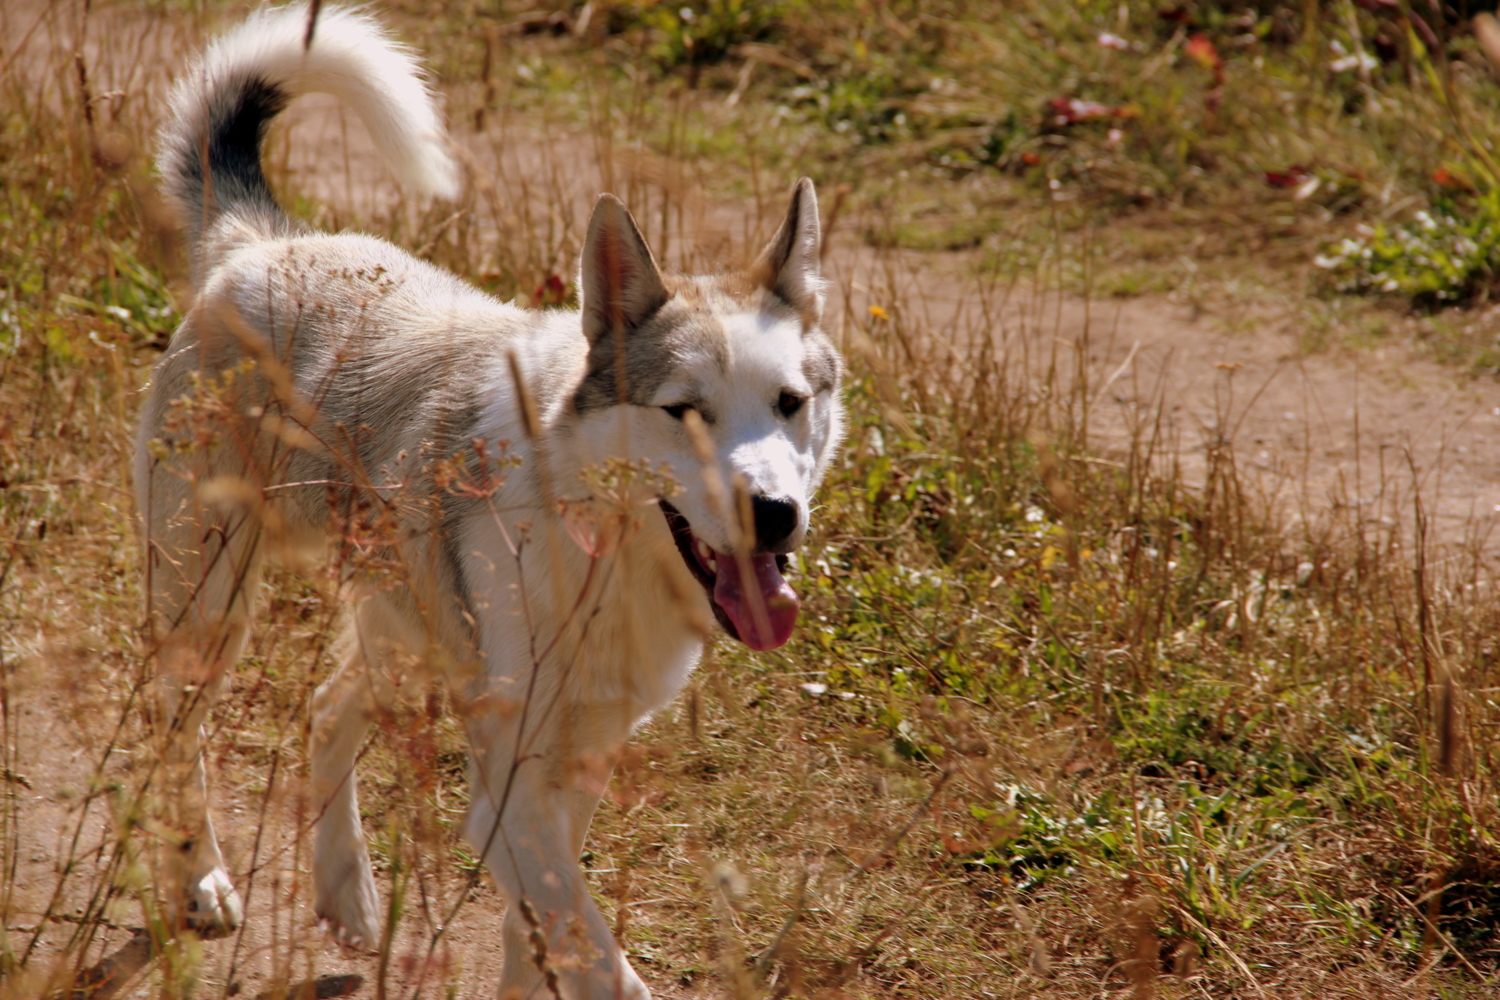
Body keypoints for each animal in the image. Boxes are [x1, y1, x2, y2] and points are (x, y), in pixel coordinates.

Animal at [136, 7, 846, 1000]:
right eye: (685, 412)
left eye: (790, 402)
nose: (773, 515)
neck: (599, 552)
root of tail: (264, 246)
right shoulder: (511, 801)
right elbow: (596, 958)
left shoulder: (570, 775)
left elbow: (535, 936)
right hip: (208, 611)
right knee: (178, 736)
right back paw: (200, 879)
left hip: (401, 632)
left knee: (326, 708)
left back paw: (347, 895)